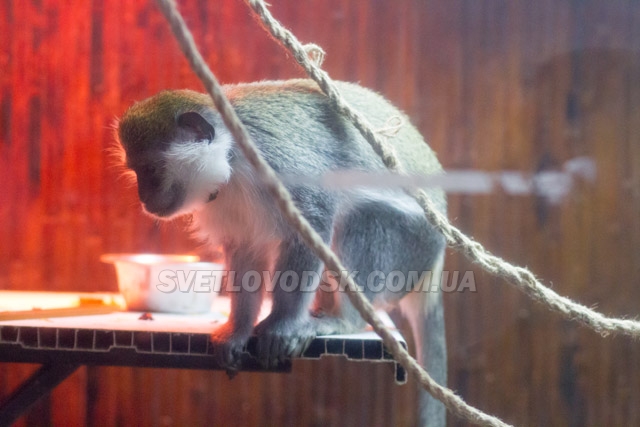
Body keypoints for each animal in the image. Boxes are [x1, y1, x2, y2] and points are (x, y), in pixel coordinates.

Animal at [119, 79, 450, 424]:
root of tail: (434, 263)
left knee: (362, 220)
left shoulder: (277, 165)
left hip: (410, 243)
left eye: (151, 169)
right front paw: (238, 329)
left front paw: (281, 326)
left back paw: (343, 320)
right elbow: (246, 250)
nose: (145, 199)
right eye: (136, 171)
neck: (232, 158)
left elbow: (313, 221)